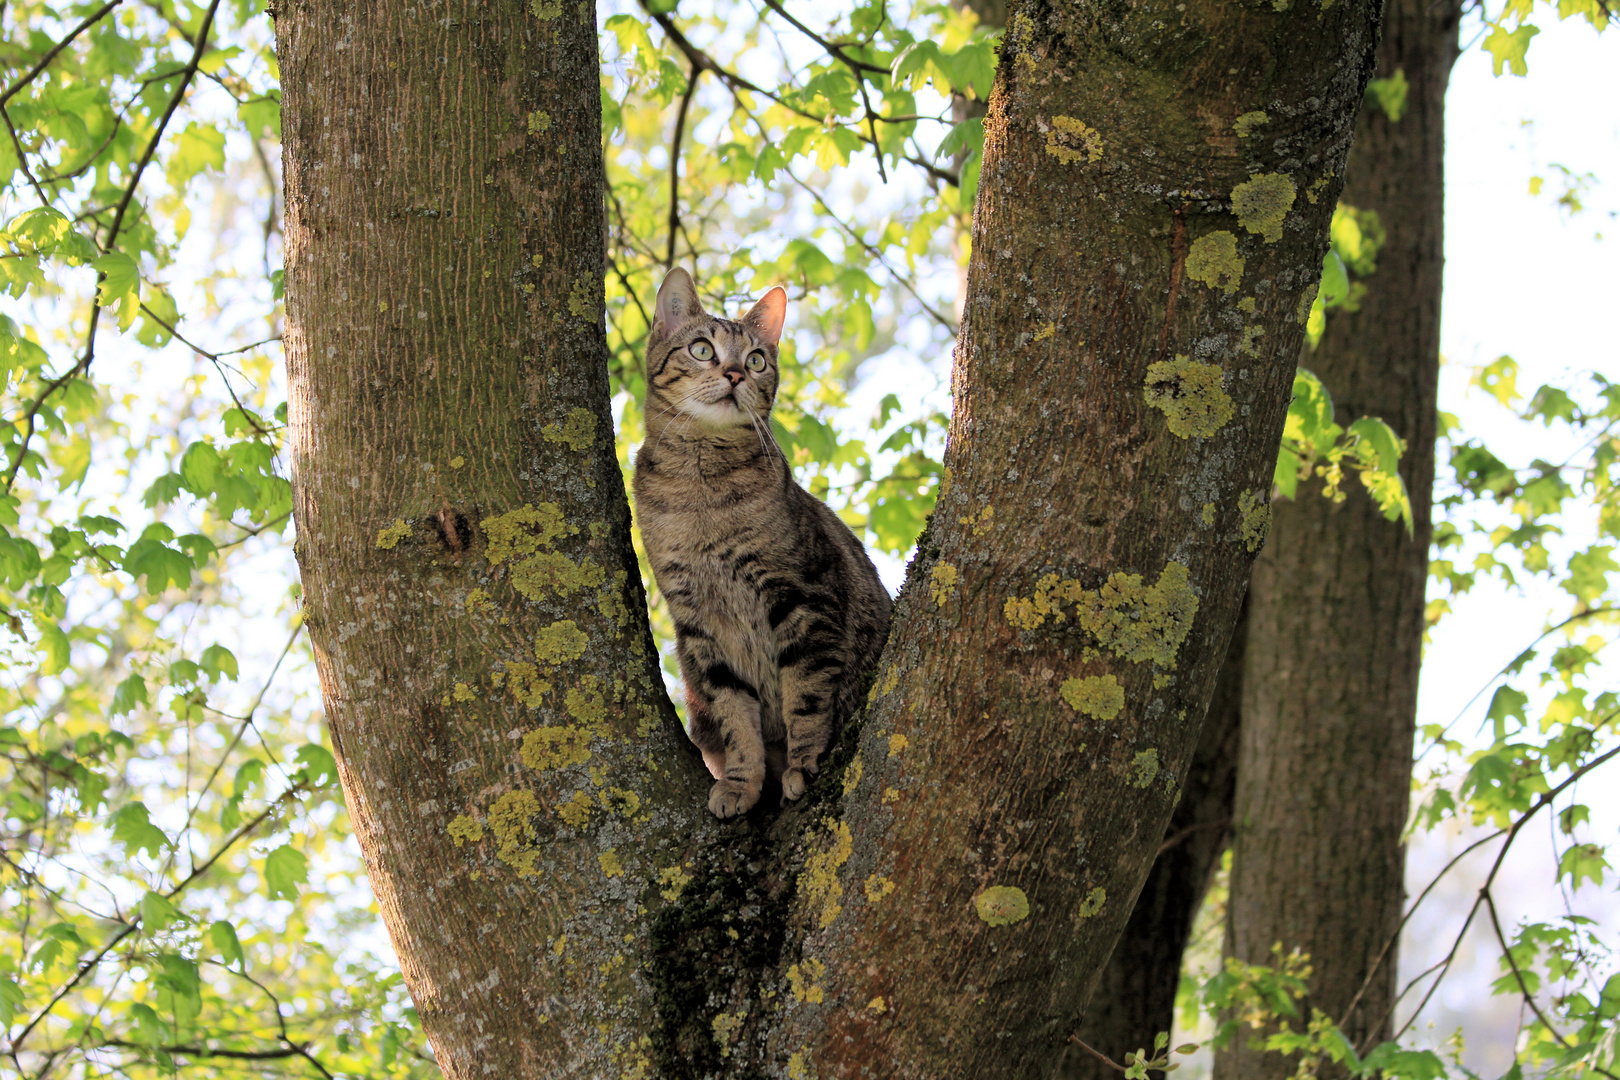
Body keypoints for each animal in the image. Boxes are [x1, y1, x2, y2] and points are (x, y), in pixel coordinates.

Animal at [631, 270, 894, 819]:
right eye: (702, 349)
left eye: (755, 359)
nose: (734, 374)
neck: (699, 492)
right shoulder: (698, 623)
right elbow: (735, 714)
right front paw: (741, 781)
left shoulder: (802, 596)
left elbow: (807, 694)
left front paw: (804, 762)